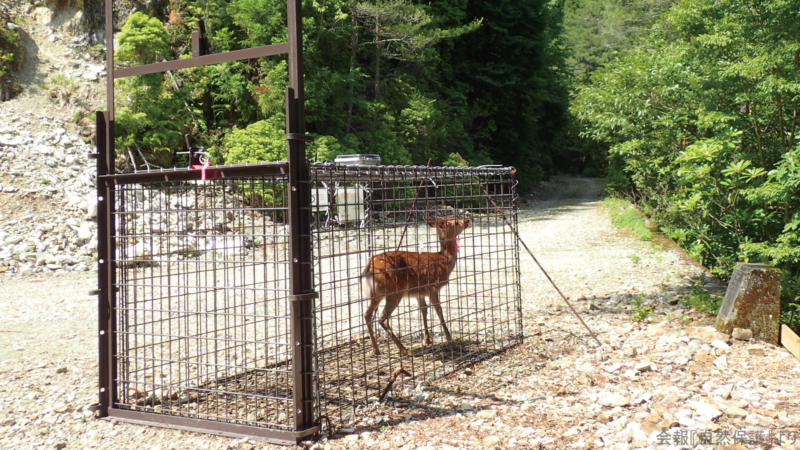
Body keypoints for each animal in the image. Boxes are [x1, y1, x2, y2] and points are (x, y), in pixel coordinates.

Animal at [361, 216, 469, 356]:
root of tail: (369, 267)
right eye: (455, 222)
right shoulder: (433, 286)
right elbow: (439, 311)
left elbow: (424, 309)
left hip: (376, 293)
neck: (443, 260)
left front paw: (427, 339)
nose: (467, 220)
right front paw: (451, 341)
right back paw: (404, 350)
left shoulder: (419, 292)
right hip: (395, 290)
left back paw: (376, 349)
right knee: (382, 318)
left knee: (367, 314)